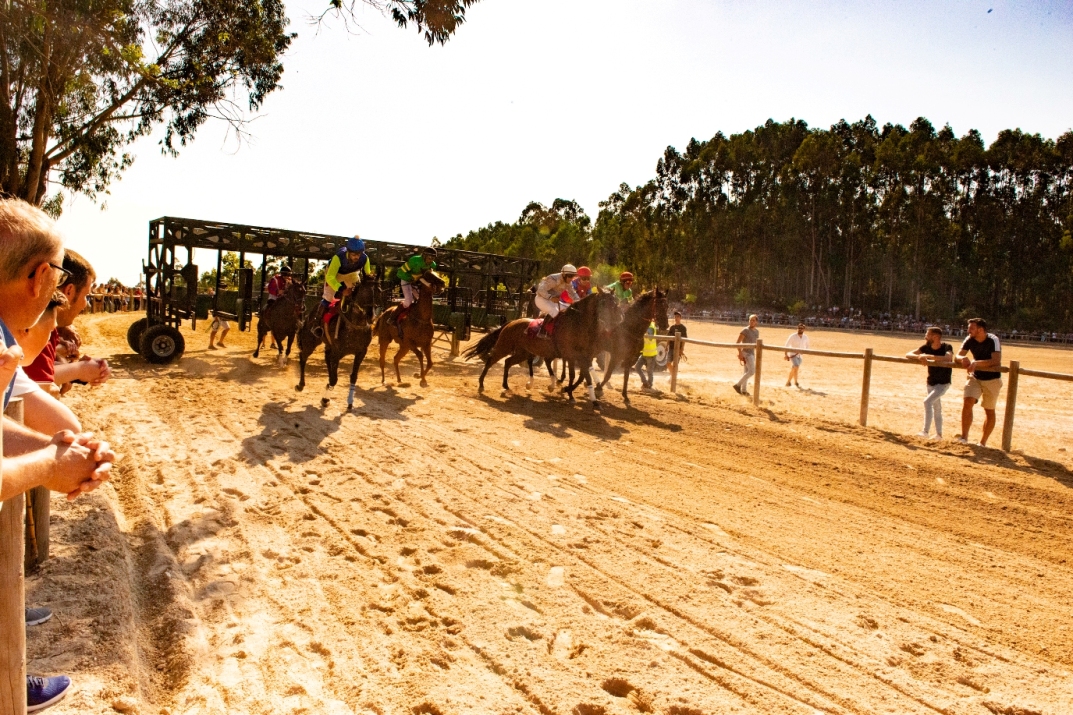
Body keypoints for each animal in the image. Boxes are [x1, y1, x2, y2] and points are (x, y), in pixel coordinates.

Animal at [296, 276, 379, 410]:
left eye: (379, 291)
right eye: (364, 291)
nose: (371, 315)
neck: (355, 326)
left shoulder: (361, 352)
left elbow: (353, 377)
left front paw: (350, 402)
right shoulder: (337, 352)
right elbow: (334, 378)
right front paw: (325, 399)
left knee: (326, 359)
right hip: (310, 342)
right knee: (303, 357)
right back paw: (300, 384)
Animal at [463, 285, 622, 405]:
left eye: (616, 301)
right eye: (606, 302)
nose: (619, 318)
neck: (578, 323)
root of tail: (511, 322)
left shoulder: (584, 355)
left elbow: (584, 376)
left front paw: (583, 394)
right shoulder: (571, 354)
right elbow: (573, 375)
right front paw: (569, 393)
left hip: (523, 352)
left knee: (508, 362)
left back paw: (506, 386)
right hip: (504, 346)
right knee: (491, 360)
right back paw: (481, 384)